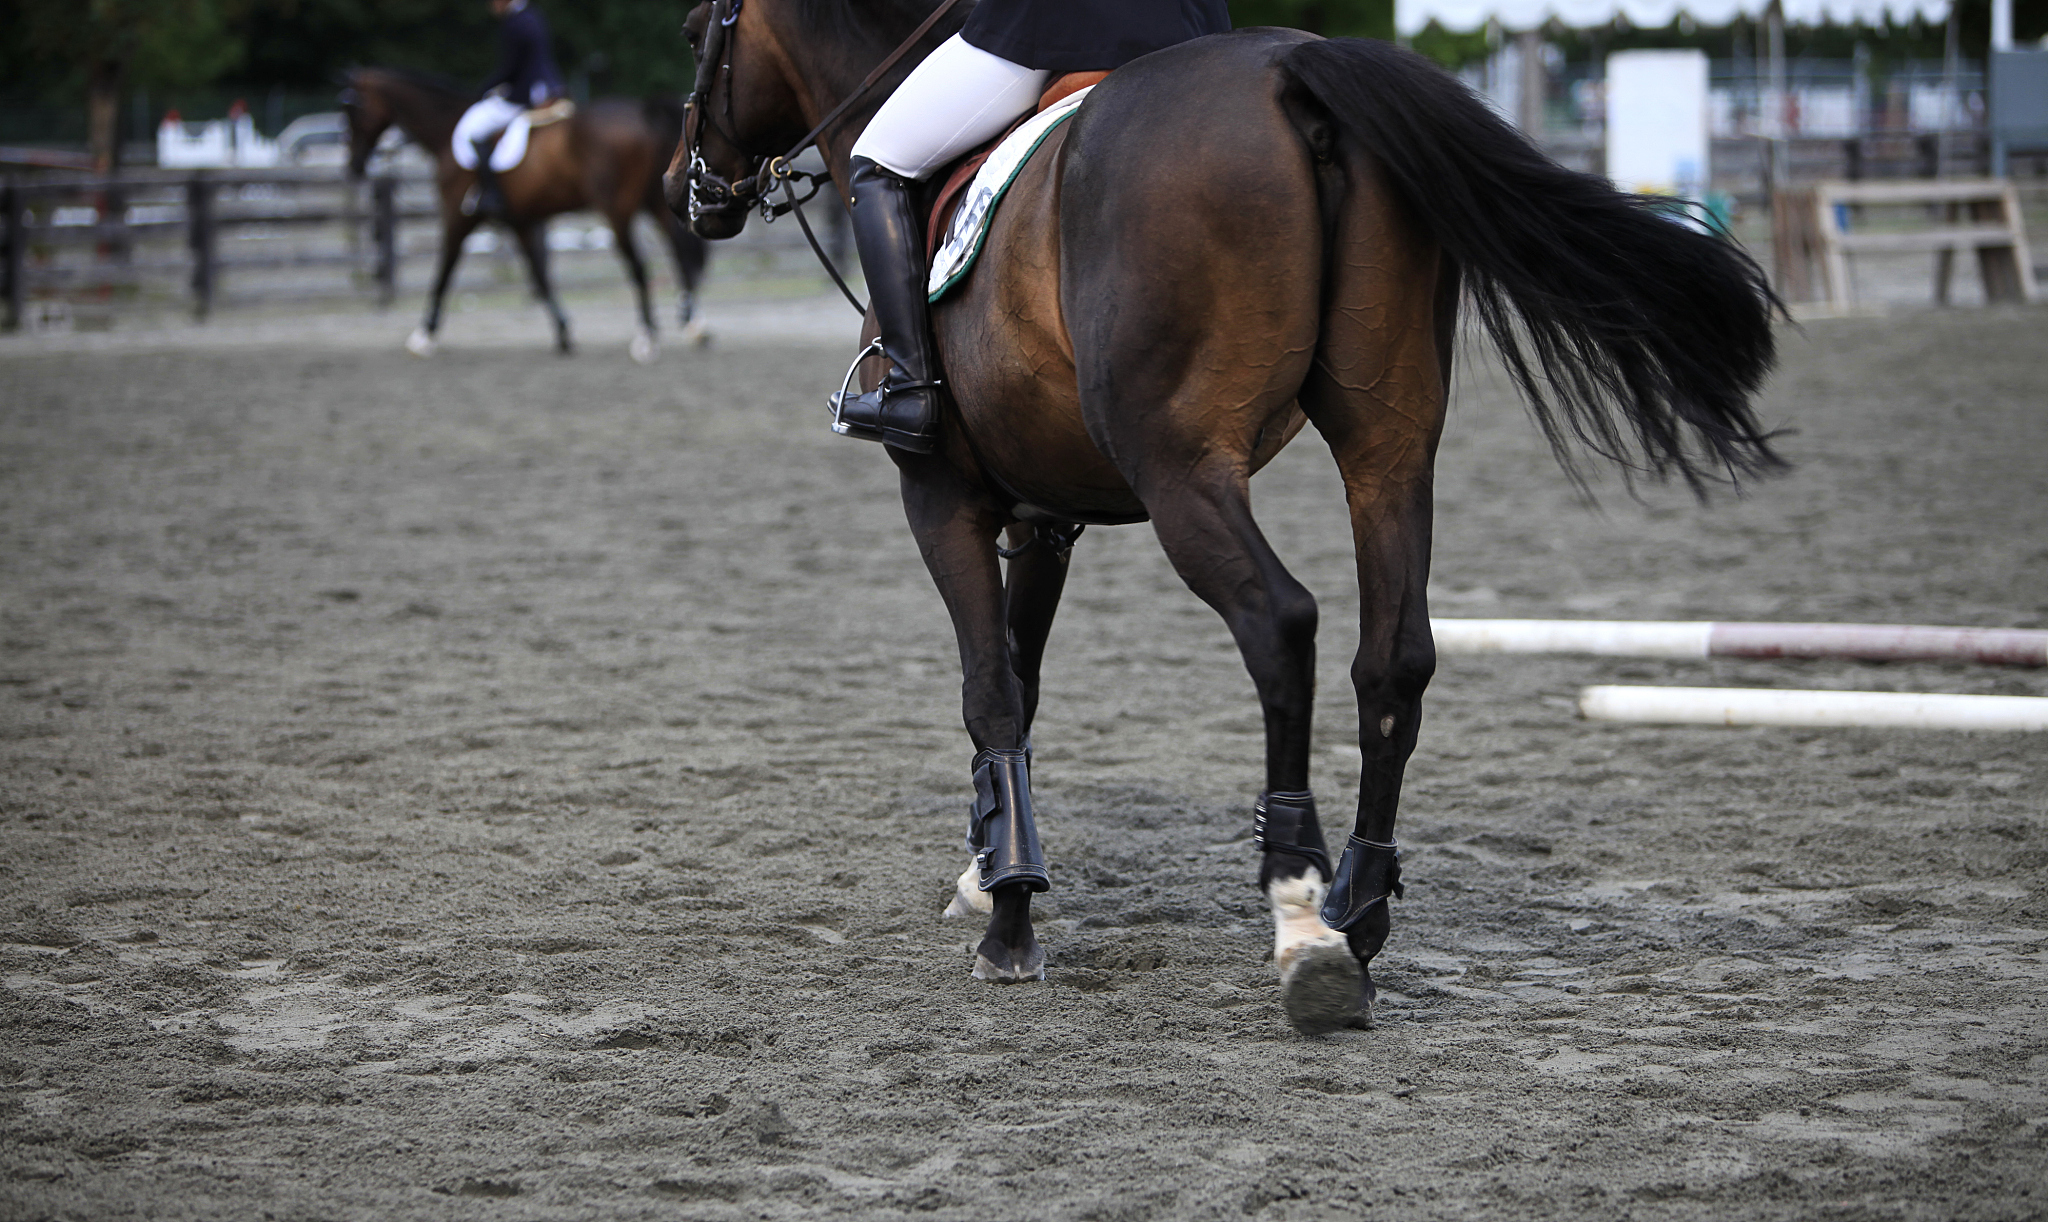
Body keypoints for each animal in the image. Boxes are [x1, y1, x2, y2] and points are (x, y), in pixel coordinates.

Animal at [341, 67, 710, 362]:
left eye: (353, 111)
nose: (354, 165)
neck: (445, 131)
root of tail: (644, 110)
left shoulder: (458, 220)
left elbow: (443, 271)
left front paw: (423, 334)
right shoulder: (520, 223)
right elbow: (540, 276)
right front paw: (563, 332)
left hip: (617, 211)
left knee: (640, 266)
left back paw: (647, 337)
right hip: (654, 203)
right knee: (680, 254)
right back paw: (693, 325)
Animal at [667, 1, 1782, 1035]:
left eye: (694, 34)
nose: (693, 189)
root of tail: (1291, 72)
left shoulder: (940, 495)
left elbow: (989, 692)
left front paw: (1009, 915)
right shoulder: (1045, 515)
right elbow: (1024, 686)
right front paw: (987, 873)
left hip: (1182, 470)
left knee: (1280, 623)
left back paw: (1300, 921)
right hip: (1386, 449)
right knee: (1394, 658)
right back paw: (1357, 914)